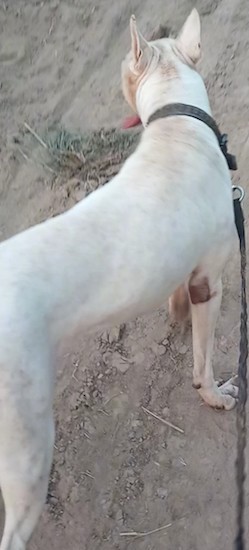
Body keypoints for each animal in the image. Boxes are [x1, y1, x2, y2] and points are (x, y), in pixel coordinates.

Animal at [0, 9, 237, 550]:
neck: (177, 124)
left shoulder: (188, 272)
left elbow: (178, 304)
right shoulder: (210, 281)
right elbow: (204, 361)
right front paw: (214, 396)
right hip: (27, 449)